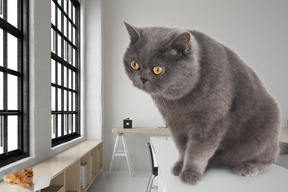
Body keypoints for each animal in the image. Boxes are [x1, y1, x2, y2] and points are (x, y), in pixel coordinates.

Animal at [122, 22, 288, 186]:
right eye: (134, 64)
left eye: (157, 69)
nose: (142, 78)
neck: (179, 102)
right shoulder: (175, 123)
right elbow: (183, 147)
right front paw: (180, 165)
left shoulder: (209, 121)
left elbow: (197, 151)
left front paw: (190, 174)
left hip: (266, 127)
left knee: (269, 157)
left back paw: (248, 167)